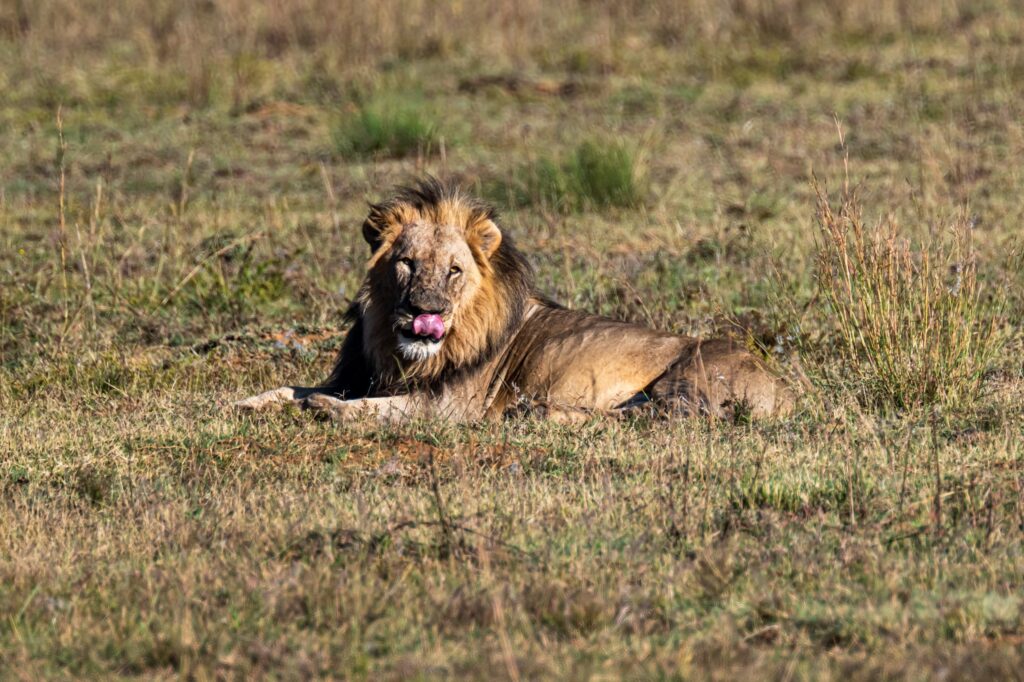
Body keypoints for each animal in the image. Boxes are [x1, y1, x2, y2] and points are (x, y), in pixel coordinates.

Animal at [235, 178, 794, 419]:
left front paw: (324, 410)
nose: (424, 312)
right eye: (407, 263)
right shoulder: (359, 375)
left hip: (683, 382)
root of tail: (784, 385)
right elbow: (291, 387)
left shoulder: (451, 406)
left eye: (455, 271)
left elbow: (369, 409)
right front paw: (247, 402)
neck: (399, 353)